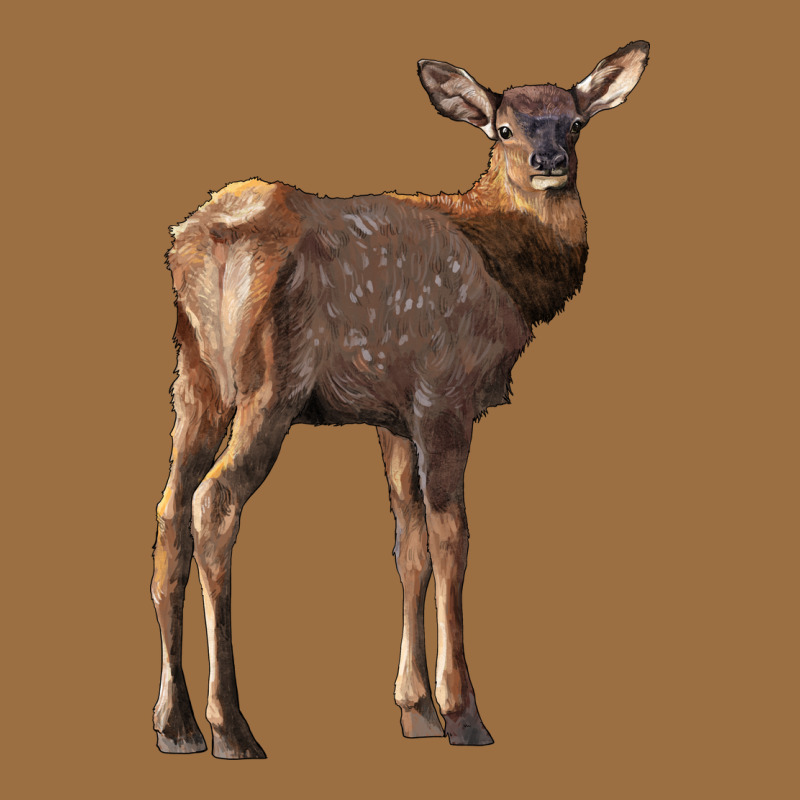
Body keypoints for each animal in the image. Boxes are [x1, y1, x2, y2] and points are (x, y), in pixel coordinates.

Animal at [151, 41, 649, 759]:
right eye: (503, 129)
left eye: (576, 123)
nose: (549, 162)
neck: (504, 270)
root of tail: (207, 239)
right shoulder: (445, 392)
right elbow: (452, 537)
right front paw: (463, 714)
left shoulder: (390, 412)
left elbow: (407, 543)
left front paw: (414, 710)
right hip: (270, 382)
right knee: (214, 502)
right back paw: (232, 726)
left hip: (195, 377)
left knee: (169, 510)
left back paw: (177, 724)